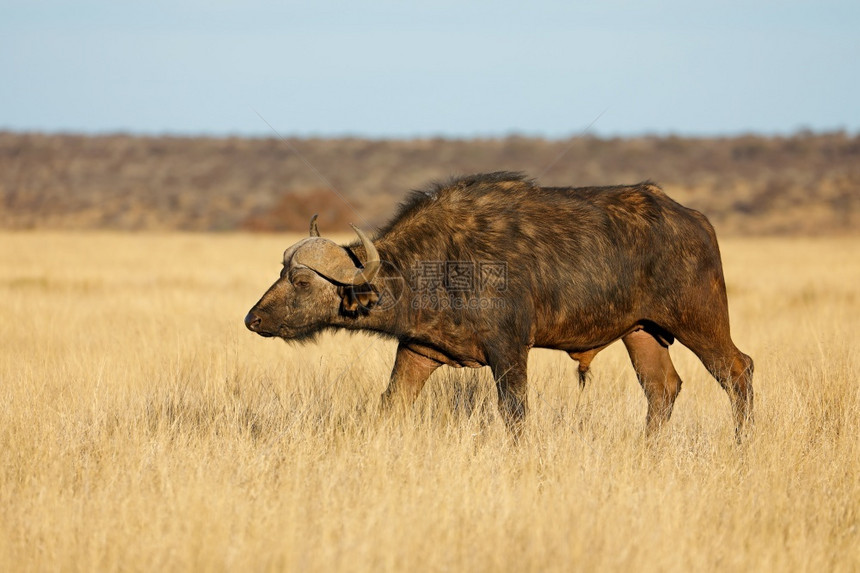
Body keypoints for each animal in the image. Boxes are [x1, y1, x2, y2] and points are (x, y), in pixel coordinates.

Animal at [244, 172, 752, 436]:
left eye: (301, 280)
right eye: (281, 271)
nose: (253, 318)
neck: (439, 262)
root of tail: (694, 219)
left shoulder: (509, 352)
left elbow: (515, 415)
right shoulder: (418, 352)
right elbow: (390, 405)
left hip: (699, 322)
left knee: (737, 371)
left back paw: (741, 444)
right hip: (642, 332)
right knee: (662, 389)